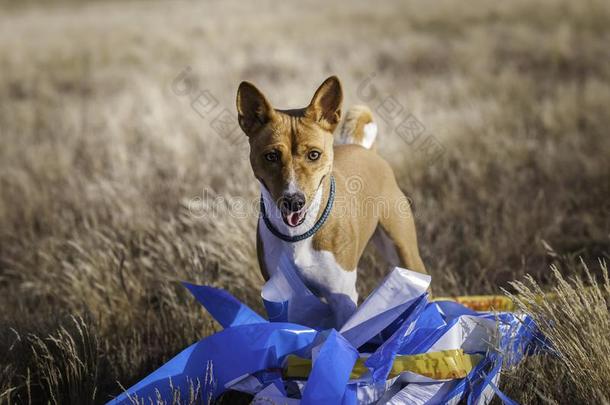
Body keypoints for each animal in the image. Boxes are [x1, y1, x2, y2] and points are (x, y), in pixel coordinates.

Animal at [235, 75, 426, 328]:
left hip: (405, 252)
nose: (294, 201)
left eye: (314, 154)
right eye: (271, 156)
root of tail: (366, 150)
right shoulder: (283, 299)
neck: (298, 236)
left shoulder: (342, 298)